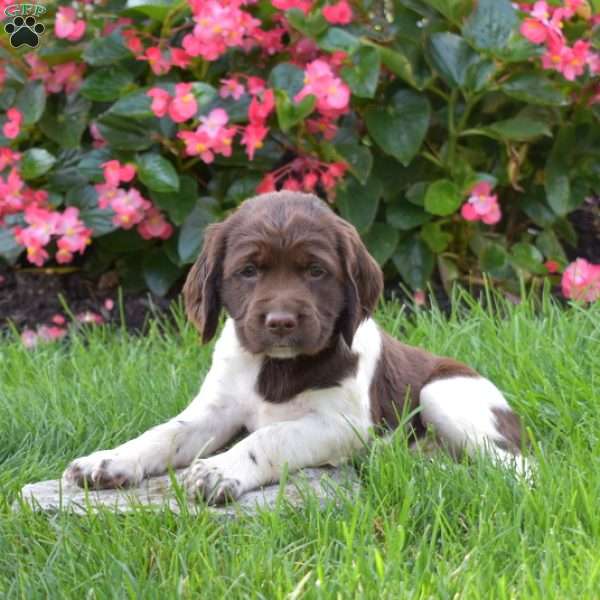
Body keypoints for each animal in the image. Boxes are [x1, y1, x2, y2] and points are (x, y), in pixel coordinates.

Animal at [63, 192, 528, 502]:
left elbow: (270, 436)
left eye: (316, 271)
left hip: (442, 394)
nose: (281, 322)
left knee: (518, 468)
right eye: (249, 270)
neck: (274, 367)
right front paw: (109, 460)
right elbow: (165, 432)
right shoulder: (216, 409)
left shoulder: (341, 424)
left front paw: (218, 470)